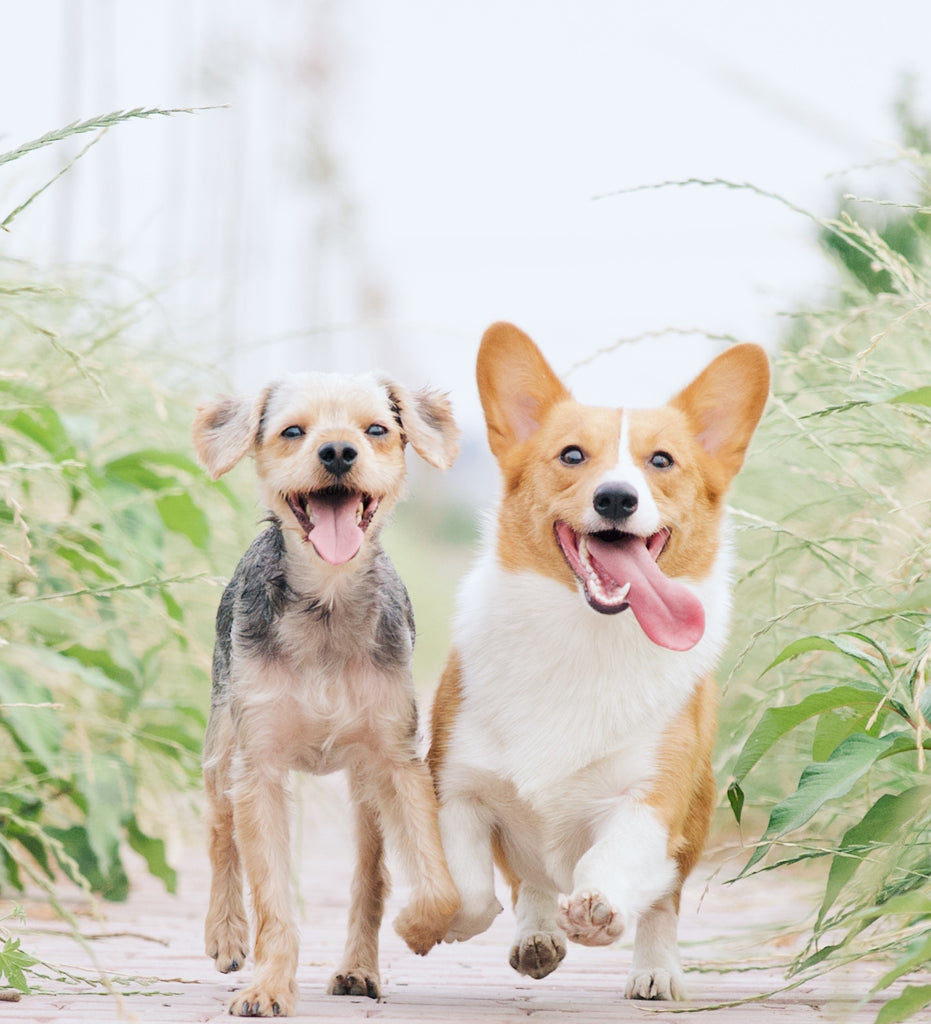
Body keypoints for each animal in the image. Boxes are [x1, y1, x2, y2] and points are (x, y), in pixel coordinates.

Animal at [191, 374, 460, 1015]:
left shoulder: (397, 760)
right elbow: (271, 897)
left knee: (371, 875)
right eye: (293, 431)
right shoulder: (258, 767)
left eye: (377, 429)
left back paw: (359, 969)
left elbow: (436, 884)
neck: (328, 605)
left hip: (363, 789)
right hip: (221, 747)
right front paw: (267, 985)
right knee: (219, 832)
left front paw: (421, 927)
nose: (338, 452)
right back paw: (226, 933)